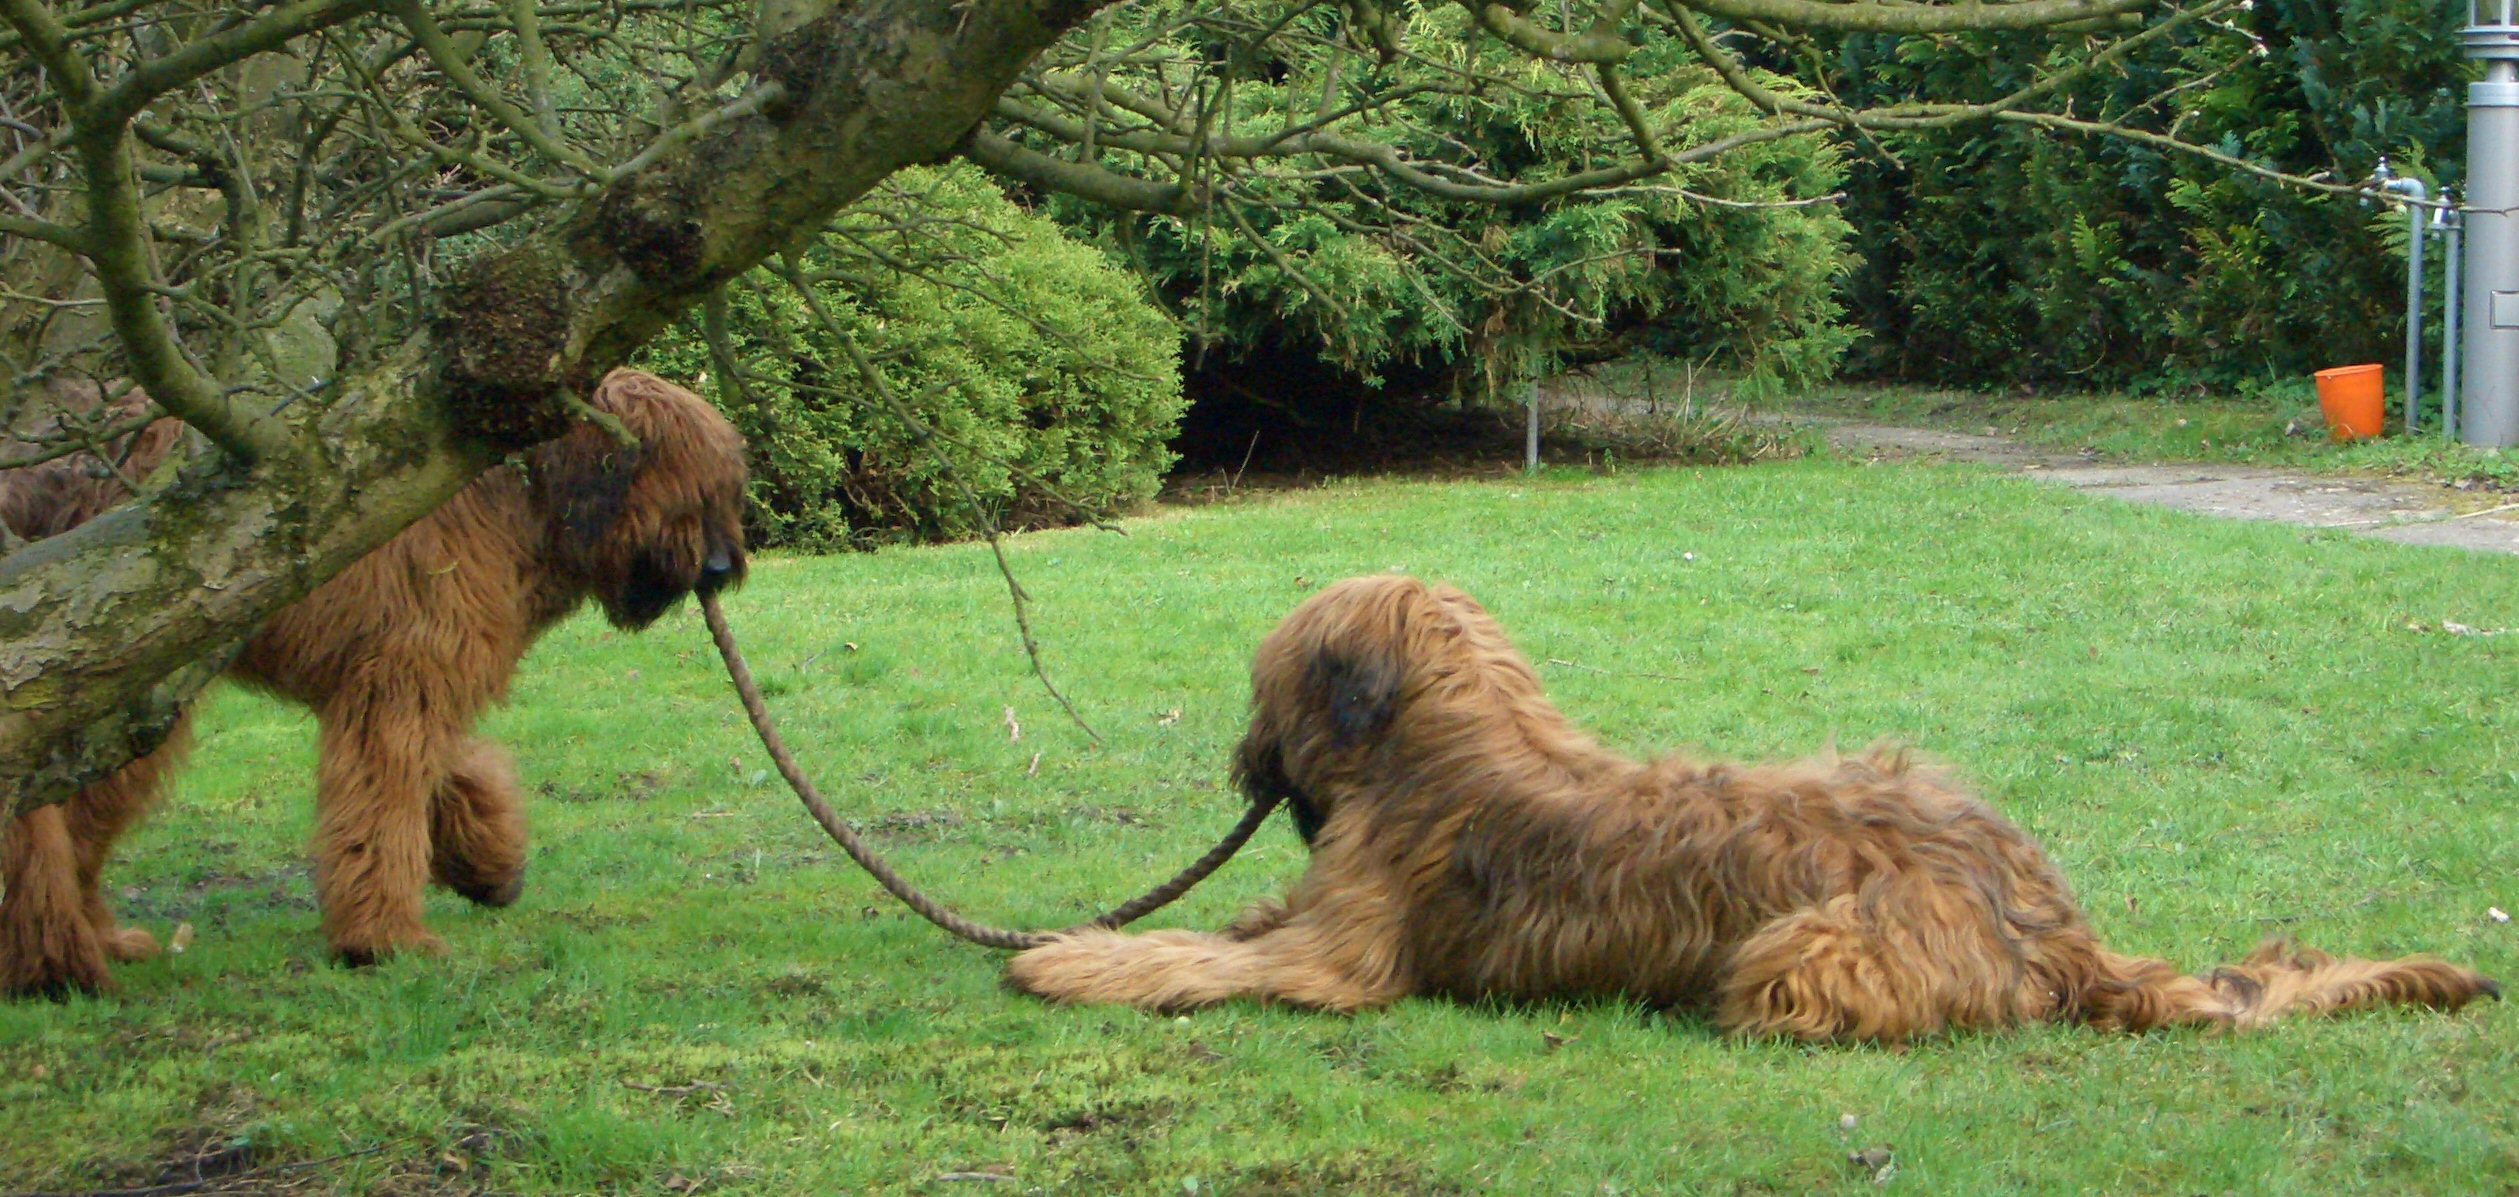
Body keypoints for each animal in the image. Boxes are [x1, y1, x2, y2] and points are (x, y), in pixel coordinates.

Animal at [1, 370, 747, 996]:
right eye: (685, 485)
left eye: (724, 489)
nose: (717, 568)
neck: (520, 496)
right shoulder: (401, 679)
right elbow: (384, 808)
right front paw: (383, 939)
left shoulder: (410, 674)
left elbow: (450, 769)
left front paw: (490, 864)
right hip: (123, 675)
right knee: (48, 819)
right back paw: (52, 958)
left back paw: (93, 938)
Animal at [1007, 574, 2498, 1041]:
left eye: (1264, 689)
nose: (1245, 762)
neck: (1446, 746)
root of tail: (2053, 922)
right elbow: (1234, 929)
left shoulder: (1344, 961)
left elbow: (1207, 959)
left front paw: (1068, 958)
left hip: (1797, 944)